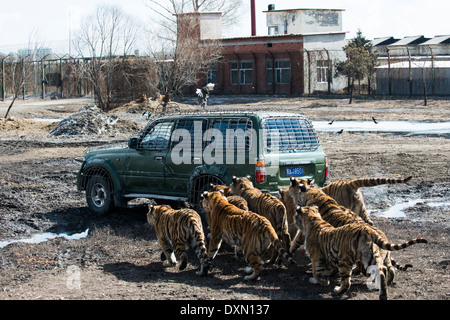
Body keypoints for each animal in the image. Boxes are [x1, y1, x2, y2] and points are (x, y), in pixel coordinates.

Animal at [294, 205, 428, 300]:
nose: (294, 221)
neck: (314, 218)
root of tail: (366, 229)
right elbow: (325, 271)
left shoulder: (316, 257)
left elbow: (316, 272)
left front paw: (323, 282)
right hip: (369, 258)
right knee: (382, 270)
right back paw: (382, 294)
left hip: (345, 261)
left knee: (347, 282)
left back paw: (338, 290)